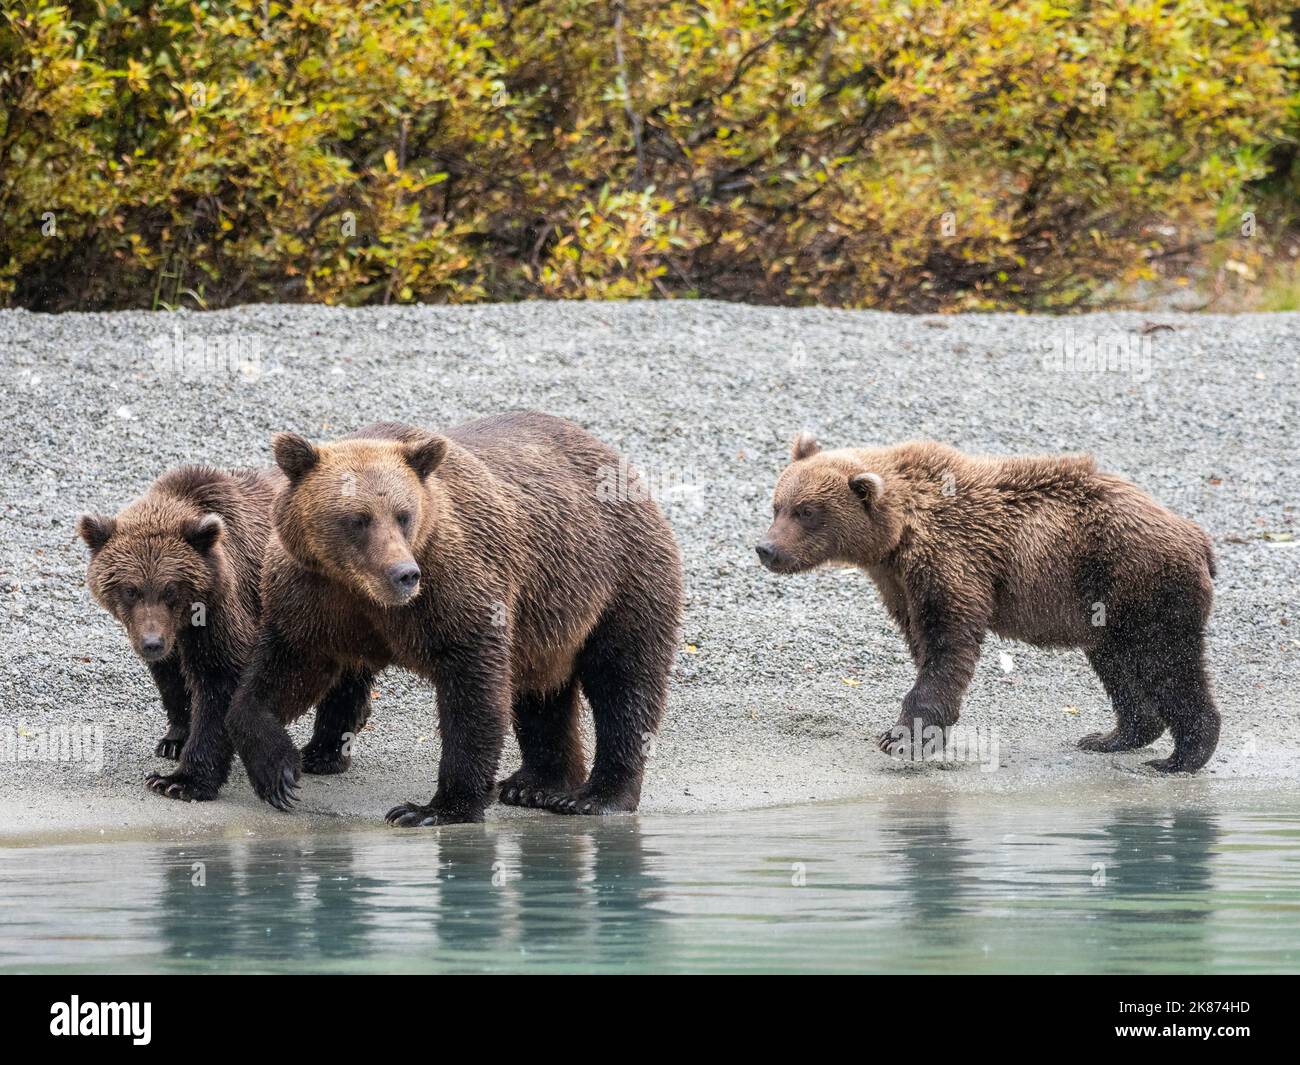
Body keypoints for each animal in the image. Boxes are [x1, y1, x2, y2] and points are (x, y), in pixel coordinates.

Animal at [79, 465, 371, 800]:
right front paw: (174, 739)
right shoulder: (168, 634)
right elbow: (172, 678)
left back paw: (323, 753)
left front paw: (181, 780)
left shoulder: (224, 607)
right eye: (130, 590)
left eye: (170, 589)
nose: (152, 643)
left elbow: (220, 681)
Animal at [223, 413, 684, 824]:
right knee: (543, 692)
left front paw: (434, 808)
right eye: (358, 519)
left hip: (619, 576)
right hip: (548, 615)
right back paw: (536, 785)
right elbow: (283, 673)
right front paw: (279, 771)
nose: (404, 574)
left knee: (623, 681)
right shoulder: (312, 597)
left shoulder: (453, 585)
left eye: (404, 514)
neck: (361, 591)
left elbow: (473, 687)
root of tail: (616, 460)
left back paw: (595, 796)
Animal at [756, 434, 1220, 773]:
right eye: (777, 505)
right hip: (1106, 610)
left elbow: (947, 645)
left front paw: (900, 737)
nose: (766, 548)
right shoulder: (899, 582)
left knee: (1168, 662)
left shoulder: (951, 561)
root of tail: (1196, 534)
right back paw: (1110, 737)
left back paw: (1181, 757)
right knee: (1118, 664)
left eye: (806, 511)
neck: (898, 536)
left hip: (1141, 585)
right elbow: (923, 643)